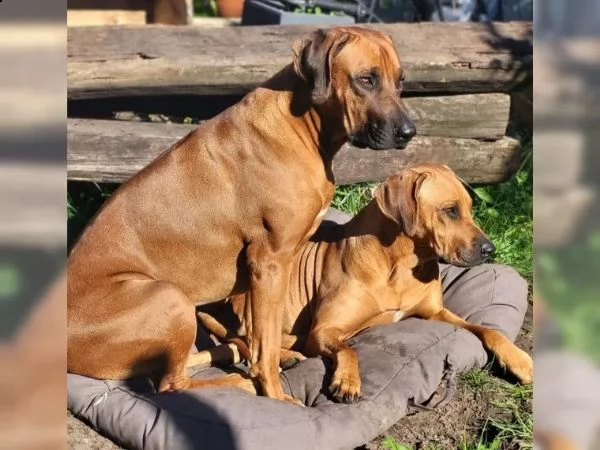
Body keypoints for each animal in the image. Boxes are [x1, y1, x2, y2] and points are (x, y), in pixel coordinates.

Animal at [64, 27, 412, 404]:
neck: (300, 128)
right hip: (169, 297)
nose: (409, 132)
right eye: (366, 79)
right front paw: (274, 394)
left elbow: (263, 335)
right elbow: (265, 342)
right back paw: (242, 382)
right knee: (173, 384)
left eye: (400, 81)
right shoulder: (269, 261)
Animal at [198, 163, 536, 402]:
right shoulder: (324, 330)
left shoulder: (437, 313)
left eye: (469, 208)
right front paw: (347, 380)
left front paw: (520, 360)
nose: (491, 249)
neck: (398, 265)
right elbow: (349, 348)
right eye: (450, 211)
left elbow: (487, 329)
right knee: (252, 342)